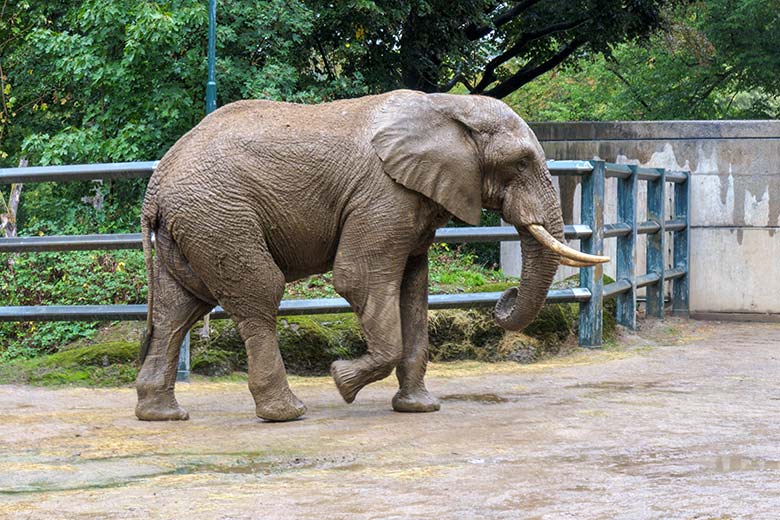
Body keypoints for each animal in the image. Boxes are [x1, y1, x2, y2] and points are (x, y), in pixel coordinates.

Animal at [136, 89, 608, 422]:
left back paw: (161, 414)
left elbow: (413, 291)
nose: (503, 299)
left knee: (179, 309)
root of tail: (156, 184)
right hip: (220, 216)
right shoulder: (384, 195)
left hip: (196, 225)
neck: (449, 106)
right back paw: (287, 413)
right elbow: (358, 278)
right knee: (259, 295)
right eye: (522, 161)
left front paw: (419, 408)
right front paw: (342, 381)